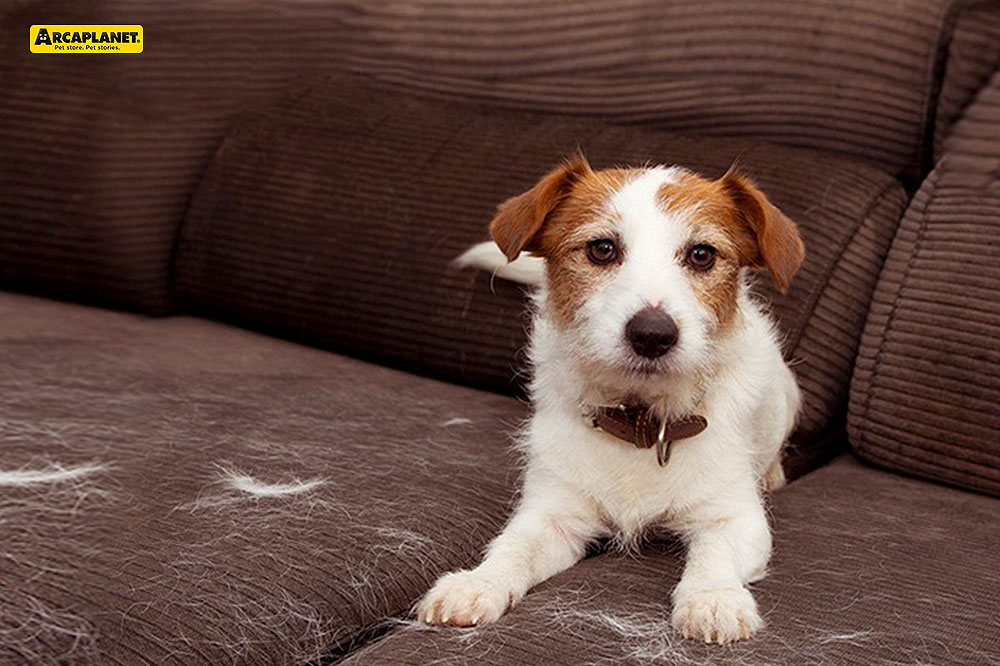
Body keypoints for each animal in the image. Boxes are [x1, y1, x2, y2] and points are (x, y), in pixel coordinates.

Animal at [414, 153, 804, 640]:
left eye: (702, 255)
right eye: (602, 248)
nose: (653, 334)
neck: (642, 421)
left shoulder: (735, 518)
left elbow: (714, 553)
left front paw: (713, 597)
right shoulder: (552, 513)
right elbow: (513, 547)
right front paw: (478, 583)